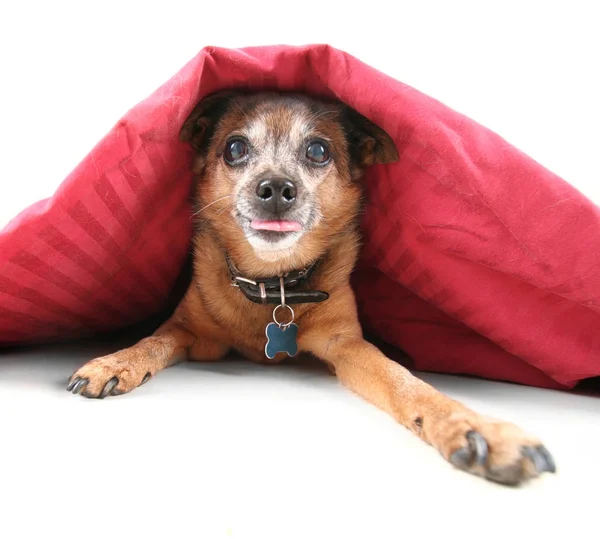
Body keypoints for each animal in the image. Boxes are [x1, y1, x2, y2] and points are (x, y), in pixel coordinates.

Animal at [68, 90, 556, 488]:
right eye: (235, 148)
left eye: (318, 150)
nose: (276, 187)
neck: (273, 286)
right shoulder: (189, 329)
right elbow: (152, 341)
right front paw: (115, 362)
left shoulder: (348, 346)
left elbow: (403, 381)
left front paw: (473, 428)